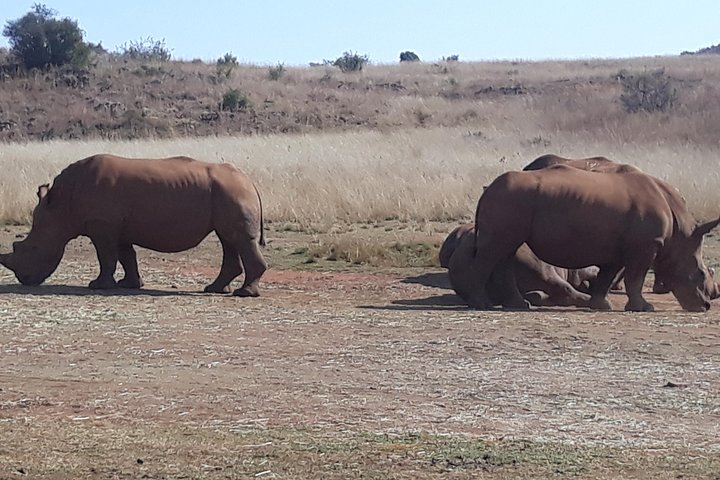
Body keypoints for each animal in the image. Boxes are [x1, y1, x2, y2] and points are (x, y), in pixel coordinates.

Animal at [0, 154, 267, 296]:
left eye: (32, 249)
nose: (25, 279)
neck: (61, 205)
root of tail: (249, 181)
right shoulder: (117, 227)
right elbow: (126, 256)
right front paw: (129, 285)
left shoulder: (102, 225)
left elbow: (106, 256)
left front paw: (98, 286)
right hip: (228, 192)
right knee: (228, 239)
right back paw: (214, 289)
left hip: (232, 192)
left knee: (238, 239)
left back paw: (244, 294)